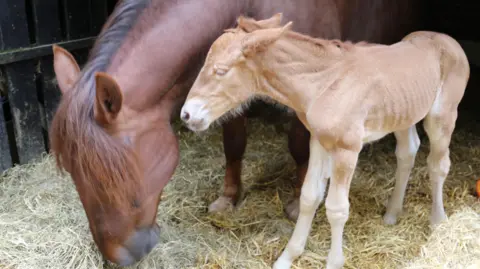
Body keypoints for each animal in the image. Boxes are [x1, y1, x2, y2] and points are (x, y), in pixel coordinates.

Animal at [48, 0, 424, 264]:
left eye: (115, 172)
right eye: (71, 173)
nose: (121, 257)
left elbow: (299, 146)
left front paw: (295, 199)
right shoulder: (223, 92)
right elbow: (233, 143)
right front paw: (228, 197)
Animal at [179, 14, 468, 268]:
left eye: (221, 71)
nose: (187, 114)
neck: (324, 83)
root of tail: (448, 40)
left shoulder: (347, 150)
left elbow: (337, 208)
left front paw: (333, 262)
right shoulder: (318, 141)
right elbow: (309, 197)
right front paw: (286, 258)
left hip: (442, 116)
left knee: (438, 163)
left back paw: (438, 220)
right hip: (403, 115)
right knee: (407, 152)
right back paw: (391, 214)